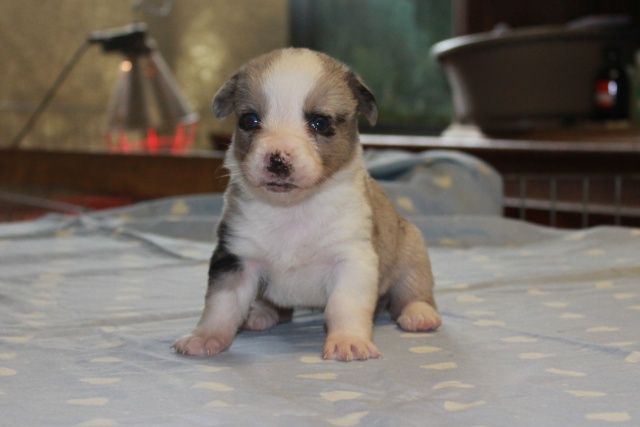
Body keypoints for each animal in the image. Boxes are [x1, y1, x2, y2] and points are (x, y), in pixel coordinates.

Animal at [172, 48, 442, 362]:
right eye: (249, 120)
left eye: (320, 123)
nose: (277, 160)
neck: (292, 210)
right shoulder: (236, 257)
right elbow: (221, 305)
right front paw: (205, 337)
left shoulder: (352, 259)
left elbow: (345, 305)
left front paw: (348, 340)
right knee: (276, 308)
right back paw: (260, 314)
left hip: (412, 252)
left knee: (413, 292)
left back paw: (419, 314)